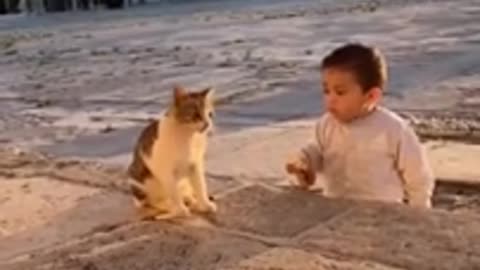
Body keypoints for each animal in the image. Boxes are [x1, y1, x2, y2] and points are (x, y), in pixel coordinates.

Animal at [127, 85, 218, 220]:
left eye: (210, 114)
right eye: (196, 114)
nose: (207, 124)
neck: (188, 137)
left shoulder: (195, 165)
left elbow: (200, 186)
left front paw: (204, 204)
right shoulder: (165, 171)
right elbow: (174, 193)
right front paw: (180, 211)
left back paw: (191, 200)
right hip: (139, 184)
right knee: (153, 201)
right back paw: (168, 206)